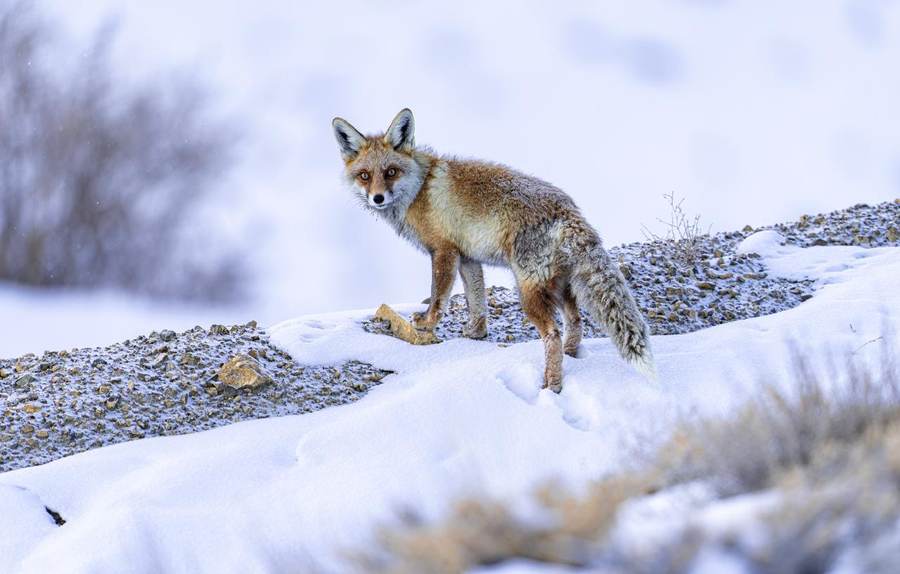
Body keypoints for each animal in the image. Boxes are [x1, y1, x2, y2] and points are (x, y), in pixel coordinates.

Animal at [331, 108, 654, 391]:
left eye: (390, 172)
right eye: (364, 175)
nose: (377, 198)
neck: (419, 189)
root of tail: (569, 211)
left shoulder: (444, 251)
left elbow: (438, 297)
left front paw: (426, 325)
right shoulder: (468, 258)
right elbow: (477, 301)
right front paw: (476, 334)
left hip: (529, 292)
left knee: (552, 335)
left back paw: (551, 385)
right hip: (559, 286)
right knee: (575, 322)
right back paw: (572, 358)